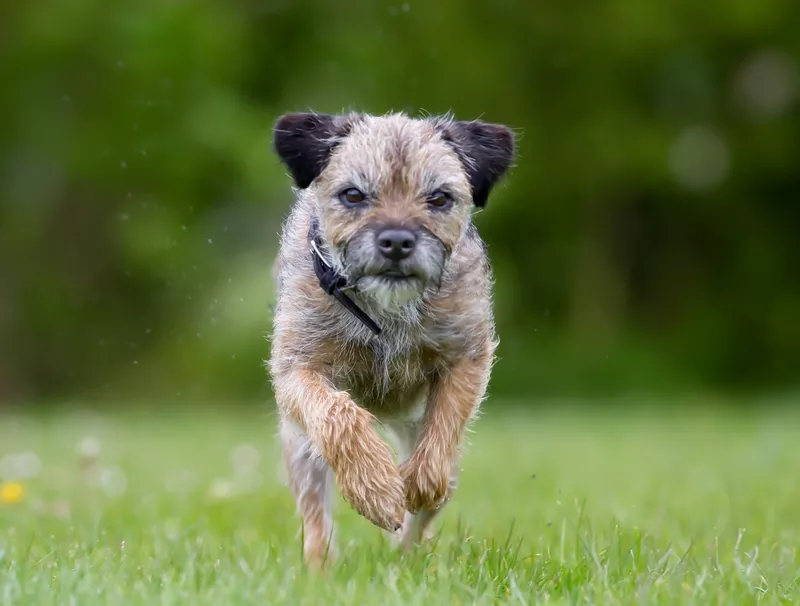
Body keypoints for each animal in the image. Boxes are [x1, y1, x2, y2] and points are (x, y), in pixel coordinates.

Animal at [268, 111, 516, 568]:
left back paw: (407, 561)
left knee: (427, 511)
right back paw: (321, 568)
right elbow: (336, 414)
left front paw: (414, 484)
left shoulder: (467, 355)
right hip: (300, 450)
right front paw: (376, 488)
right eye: (353, 195)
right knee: (315, 514)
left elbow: (445, 423)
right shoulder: (296, 366)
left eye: (439, 198)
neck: (386, 310)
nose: (398, 241)